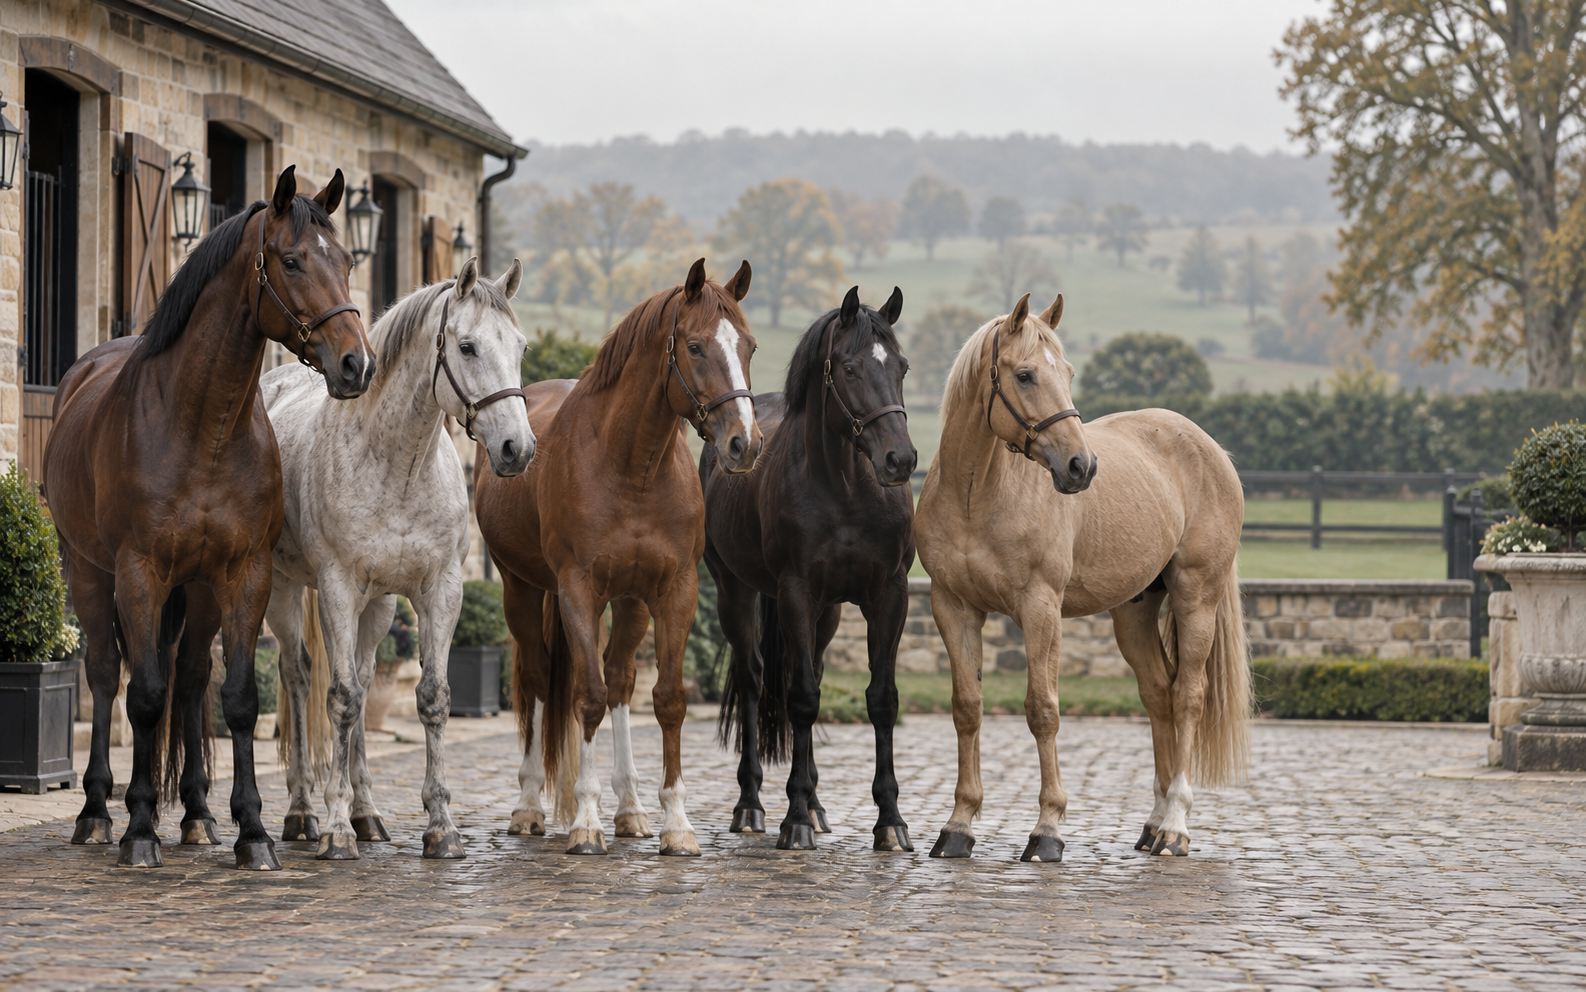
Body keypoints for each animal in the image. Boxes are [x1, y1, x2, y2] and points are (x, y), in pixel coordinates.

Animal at [43, 166, 374, 869]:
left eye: (347, 260)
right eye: (292, 260)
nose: (357, 364)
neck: (202, 427)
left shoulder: (243, 575)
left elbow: (239, 699)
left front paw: (253, 831)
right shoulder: (138, 574)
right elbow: (143, 696)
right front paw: (140, 828)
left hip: (197, 592)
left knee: (193, 682)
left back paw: (197, 814)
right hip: (86, 572)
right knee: (106, 676)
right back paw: (97, 812)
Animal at [260, 256, 533, 861]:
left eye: (521, 346)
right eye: (467, 346)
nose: (517, 449)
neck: (396, 465)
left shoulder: (439, 592)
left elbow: (432, 698)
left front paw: (441, 827)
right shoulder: (337, 589)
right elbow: (340, 700)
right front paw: (336, 830)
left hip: (379, 607)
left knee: (363, 681)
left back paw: (368, 812)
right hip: (282, 591)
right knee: (298, 678)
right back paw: (304, 812)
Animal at [476, 258, 761, 857]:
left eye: (748, 346)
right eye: (695, 347)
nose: (744, 444)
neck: (630, 466)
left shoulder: (674, 591)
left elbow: (667, 698)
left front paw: (676, 823)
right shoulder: (577, 590)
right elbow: (586, 697)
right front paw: (586, 822)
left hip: (630, 602)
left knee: (622, 680)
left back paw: (630, 808)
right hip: (521, 588)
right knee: (540, 678)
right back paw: (530, 807)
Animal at [702, 285, 918, 851]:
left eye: (902, 366)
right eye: (849, 368)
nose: (900, 460)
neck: (846, 488)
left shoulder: (889, 595)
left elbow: (881, 699)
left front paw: (890, 820)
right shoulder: (796, 592)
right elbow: (800, 699)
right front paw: (793, 818)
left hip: (829, 612)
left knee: (814, 670)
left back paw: (818, 806)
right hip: (735, 592)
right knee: (755, 680)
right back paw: (752, 805)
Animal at [912, 293, 1250, 861]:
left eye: (1067, 372)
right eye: (1025, 374)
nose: (1081, 466)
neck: (977, 497)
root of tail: (1211, 449)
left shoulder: (1040, 608)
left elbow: (1042, 710)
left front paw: (1047, 830)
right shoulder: (953, 608)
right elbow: (966, 709)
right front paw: (958, 826)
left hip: (1195, 597)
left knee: (1188, 696)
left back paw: (1175, 825)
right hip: (1134, 612)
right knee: (1159, 693)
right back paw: (1153, 822)